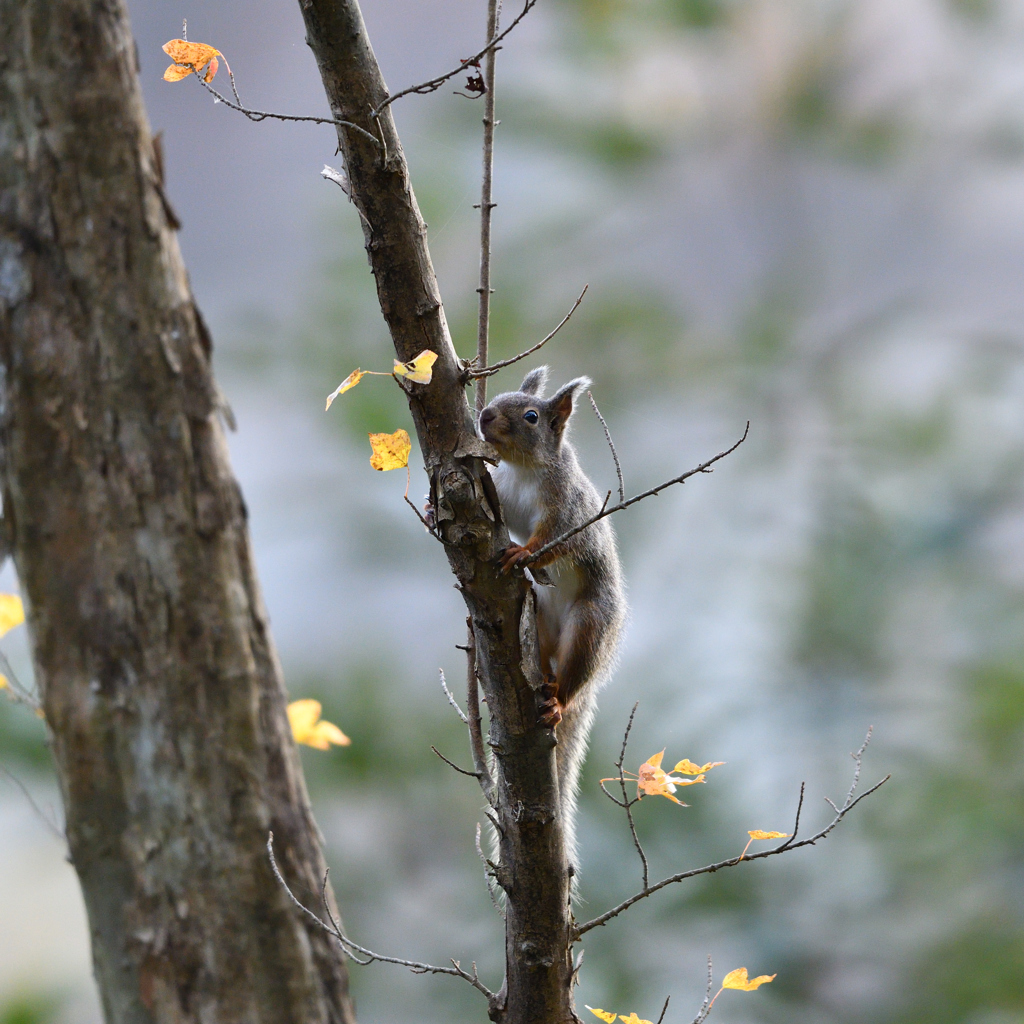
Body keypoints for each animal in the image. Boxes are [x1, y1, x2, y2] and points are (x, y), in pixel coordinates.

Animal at [477, 364, 622, 868]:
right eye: (498, 396)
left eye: (532, 416)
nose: (484, 415)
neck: (523, 469)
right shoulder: (500, 495)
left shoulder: (566, 510)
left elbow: (554, 540)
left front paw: (523, 552)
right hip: (535, 626)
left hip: (590, 626)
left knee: (574, 678)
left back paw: (559, 701)